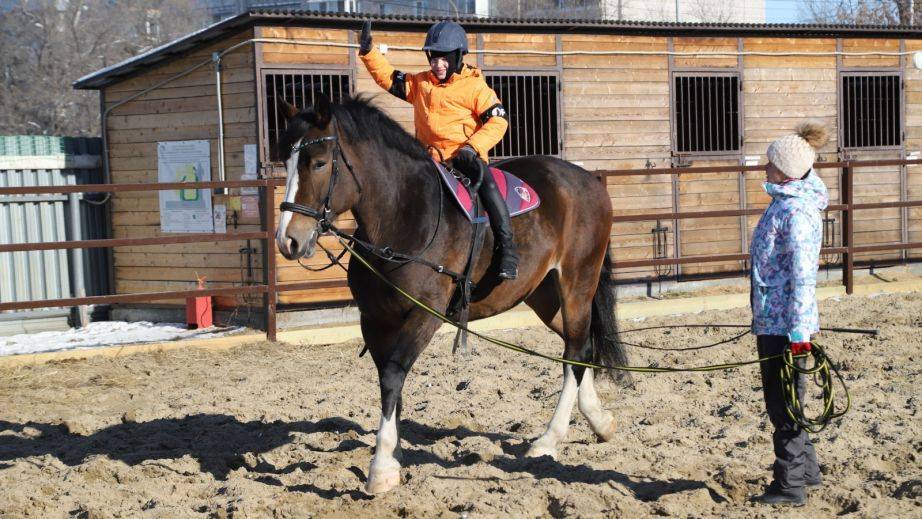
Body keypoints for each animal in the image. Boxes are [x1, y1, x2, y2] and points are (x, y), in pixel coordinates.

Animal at [276, 94, 628, 496]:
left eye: (318, 163)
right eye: (285, 162)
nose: (288, 240)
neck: (405, 218)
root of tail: (588, 182)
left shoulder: (425, 314)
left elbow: (393, 375)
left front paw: (382, 469)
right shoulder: (375, 319)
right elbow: (388, 384)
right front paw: (395, 457)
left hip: (577, 282)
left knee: (575, 353)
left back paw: (549, 439)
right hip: (543, 295)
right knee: (581, 347)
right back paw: (600, 421)